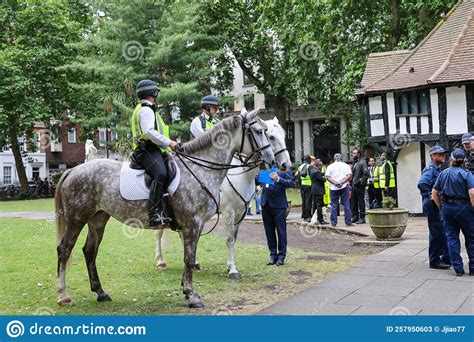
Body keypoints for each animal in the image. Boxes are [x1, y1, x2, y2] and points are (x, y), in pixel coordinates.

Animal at [54, 109, 274, 308]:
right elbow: (190, 256)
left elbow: (189, 256)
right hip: (77, 219)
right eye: (260, 132)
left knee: (90, 250)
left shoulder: (198, 224)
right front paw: (192, 295)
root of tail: (74, 170)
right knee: (64, 249)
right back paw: (63, 295)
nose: (271, 160)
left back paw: (100, 292)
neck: (200, 170)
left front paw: (186, 289)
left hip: (97, 219)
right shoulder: (193, 222)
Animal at [156, 116, 290, 280]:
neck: (242, 175)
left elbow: (234, 239)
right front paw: (232, 269)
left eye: (283, 135)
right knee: (159, 233)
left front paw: (230, 266)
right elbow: (229, 239)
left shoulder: (240, 212)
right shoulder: (228, 212)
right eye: (270, 136)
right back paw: (160, 261)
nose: (286, 165)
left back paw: (193, 262)